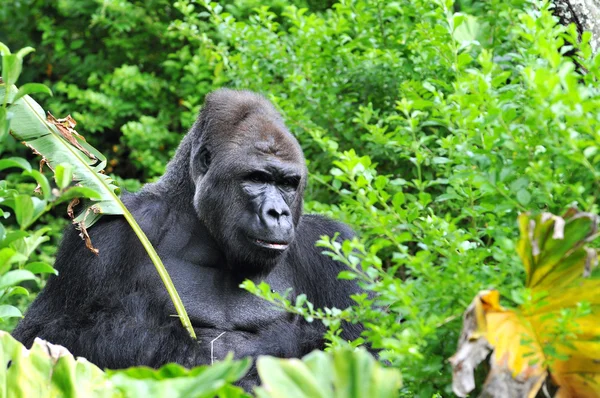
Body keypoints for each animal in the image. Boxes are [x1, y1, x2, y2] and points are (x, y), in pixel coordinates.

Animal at [11, 88, 364, 388]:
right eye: (257, 178)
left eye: (289, 183)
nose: (278, 213)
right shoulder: (109, 232)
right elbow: (40, 336)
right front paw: (183, 347)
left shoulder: (333, 247)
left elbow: (360, 349)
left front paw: (277, 341)